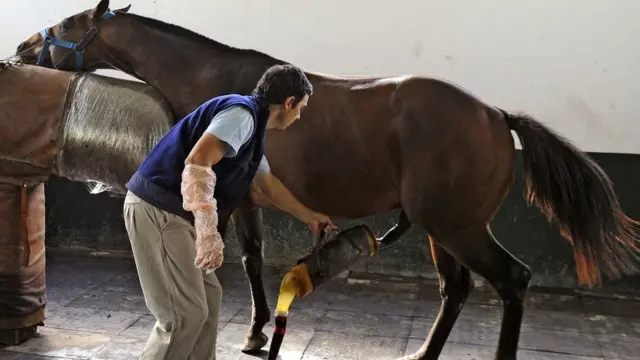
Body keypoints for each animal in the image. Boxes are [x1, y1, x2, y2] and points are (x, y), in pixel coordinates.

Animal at [15, 1, 640, 358]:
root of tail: (496, 116)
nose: (23, 45)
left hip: (458, 227)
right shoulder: (250, 196)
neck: (223, 79)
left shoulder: (228, 199)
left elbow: (233, 259)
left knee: (511, 281)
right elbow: (253, 257)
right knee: (457, 290)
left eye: (68, 23)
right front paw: (259, 330)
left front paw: (250, 329)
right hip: (445, 230)